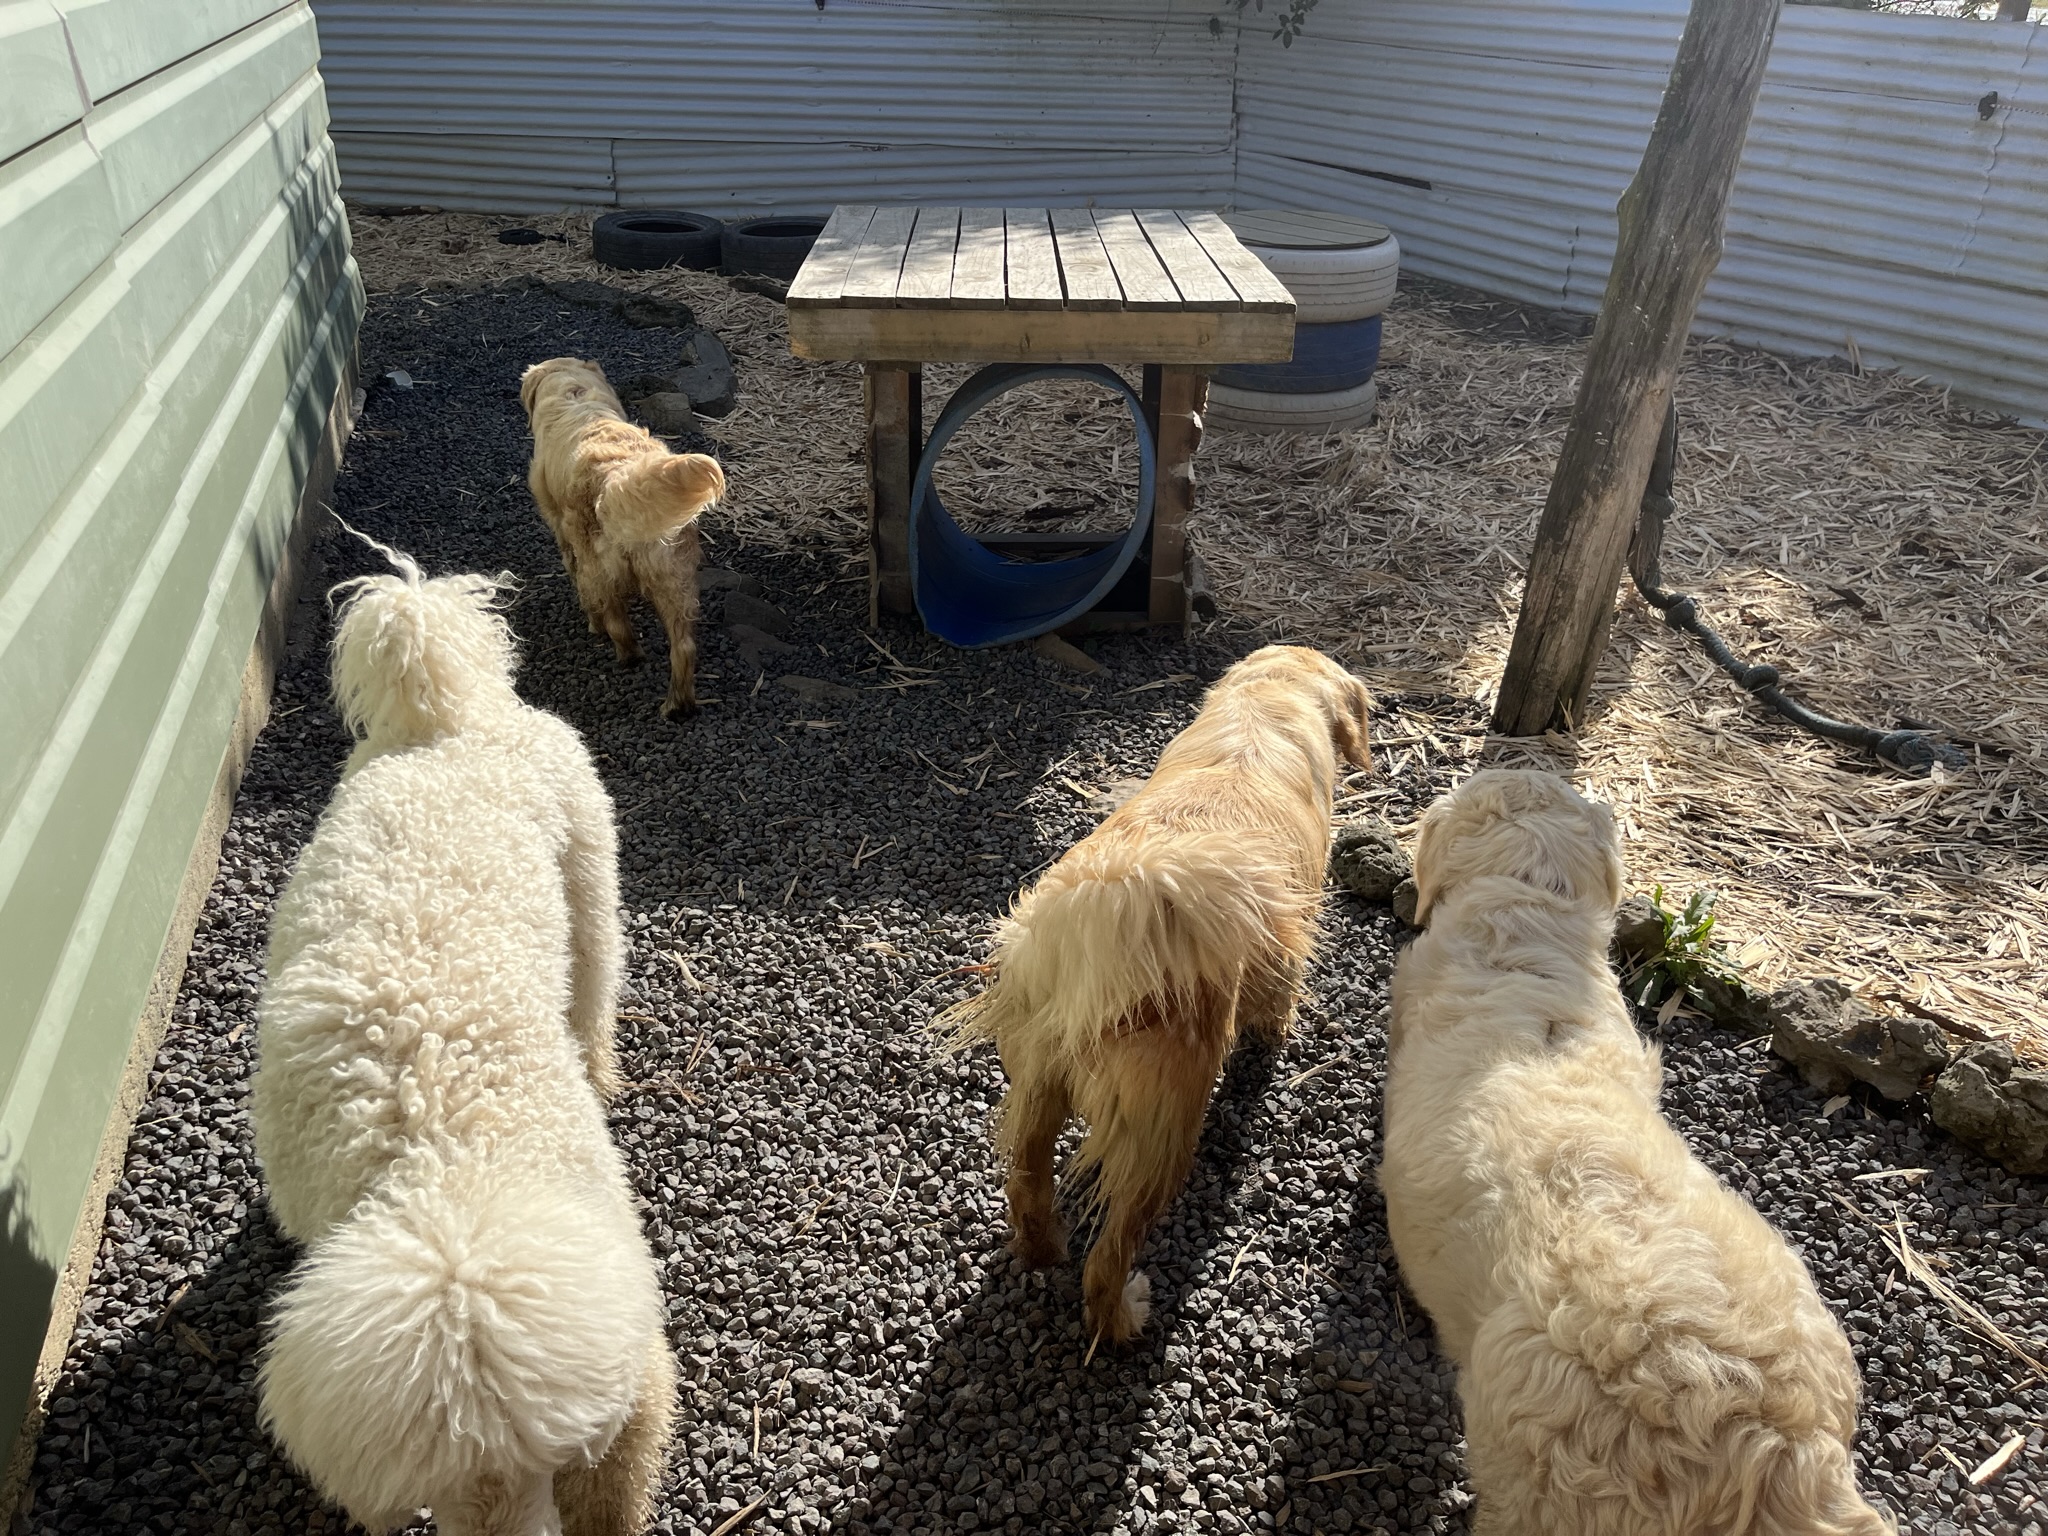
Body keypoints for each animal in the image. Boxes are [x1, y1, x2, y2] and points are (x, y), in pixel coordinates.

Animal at [252, 548, 675, 1536]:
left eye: (550, 1464)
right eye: (438, 1489)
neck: (449, 1160)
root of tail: (447, 720)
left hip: (589, 875)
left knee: (594, 983)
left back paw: (600, 1063)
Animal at [520, 356, 729, 720]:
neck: (574, 391)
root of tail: (618, 475)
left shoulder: (563, 531)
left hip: (598, 565)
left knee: (614, 617)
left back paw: (626, 653)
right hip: (674, 577)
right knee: (683, 647)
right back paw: (678, 704)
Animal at [942, 647, 1376, 1343]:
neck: (1263, 707)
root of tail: (1108, 914)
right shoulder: (1288, 941)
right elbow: (1277, 1001)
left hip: (1036, 1086)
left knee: (1026, 1189)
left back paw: (1044, 1248)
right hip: (1163, 1132)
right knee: (1107, 1259)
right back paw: (1125, 1316)